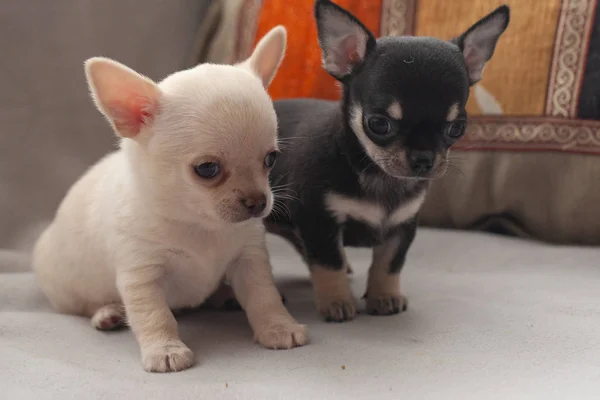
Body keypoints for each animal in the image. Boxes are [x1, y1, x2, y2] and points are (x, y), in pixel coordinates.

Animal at [31, 26, 308, 374]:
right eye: (207, 169)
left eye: (271, 159)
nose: (259, 202)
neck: (199, 225)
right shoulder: (142, 276)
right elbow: (155, 316)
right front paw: (164, 349)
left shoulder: (250, 259)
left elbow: (263, 297)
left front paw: (279, 327)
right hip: (67, 289)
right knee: (87, 305)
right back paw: (108, 313)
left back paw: (223, 295)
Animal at [264, 0, 508, 322]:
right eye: (379, 124)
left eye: (457, 128)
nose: (423, 159)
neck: (379, 176)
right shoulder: (320, 220)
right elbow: (329, 263)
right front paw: (336, 301)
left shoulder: (402, 226)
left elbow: (389, 264)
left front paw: (384, 296)